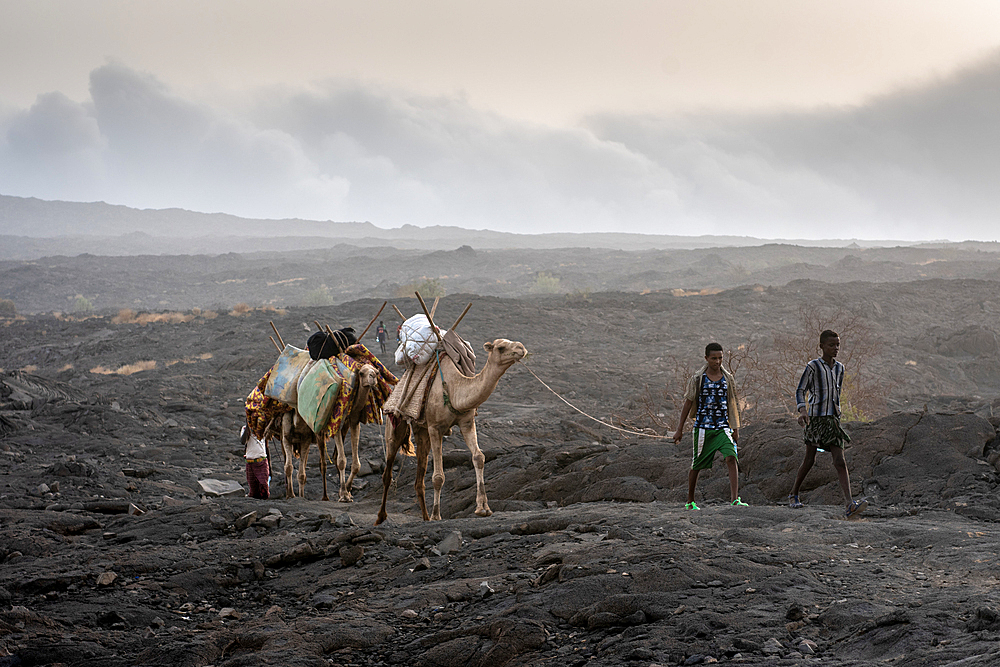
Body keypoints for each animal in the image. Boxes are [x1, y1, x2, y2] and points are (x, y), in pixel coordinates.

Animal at [282, 366, 378, 500]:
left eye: (377, 371)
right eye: (361, 372)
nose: (373, 376)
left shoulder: (353, 423)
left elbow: (355, 464)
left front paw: (347, 490)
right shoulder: (335, 423)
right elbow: (341, 460)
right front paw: (344, 495)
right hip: (317, 433)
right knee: (322, 463)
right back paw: (324, 496)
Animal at [376, 340, 528, 528]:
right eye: (501, 347)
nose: (521, 348)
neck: (455, 390)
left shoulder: (467, 422)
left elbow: (479, 457)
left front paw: (483, 508)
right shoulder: (435, 428)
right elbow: (438, 477)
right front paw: (436, 515)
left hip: (421, 430)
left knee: (419, 479)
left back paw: (425, 517)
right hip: (395, 422)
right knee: (388, 471)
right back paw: (381, 517)